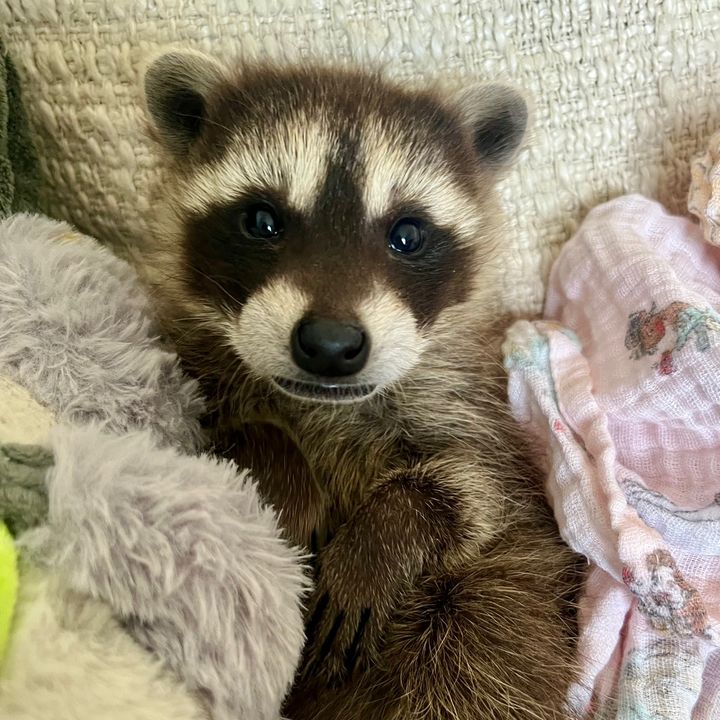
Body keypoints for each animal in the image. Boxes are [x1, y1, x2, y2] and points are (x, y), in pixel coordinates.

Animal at [140, 50, 579, 720]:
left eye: (407, 234)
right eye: (263, 220)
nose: (329, 344)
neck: (321, 406)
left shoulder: (466, 407)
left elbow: (476, 488)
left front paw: (384, 537)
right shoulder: (191, 370)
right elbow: (219, 430)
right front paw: (281, 470)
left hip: (499, 598)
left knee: (473, 650)